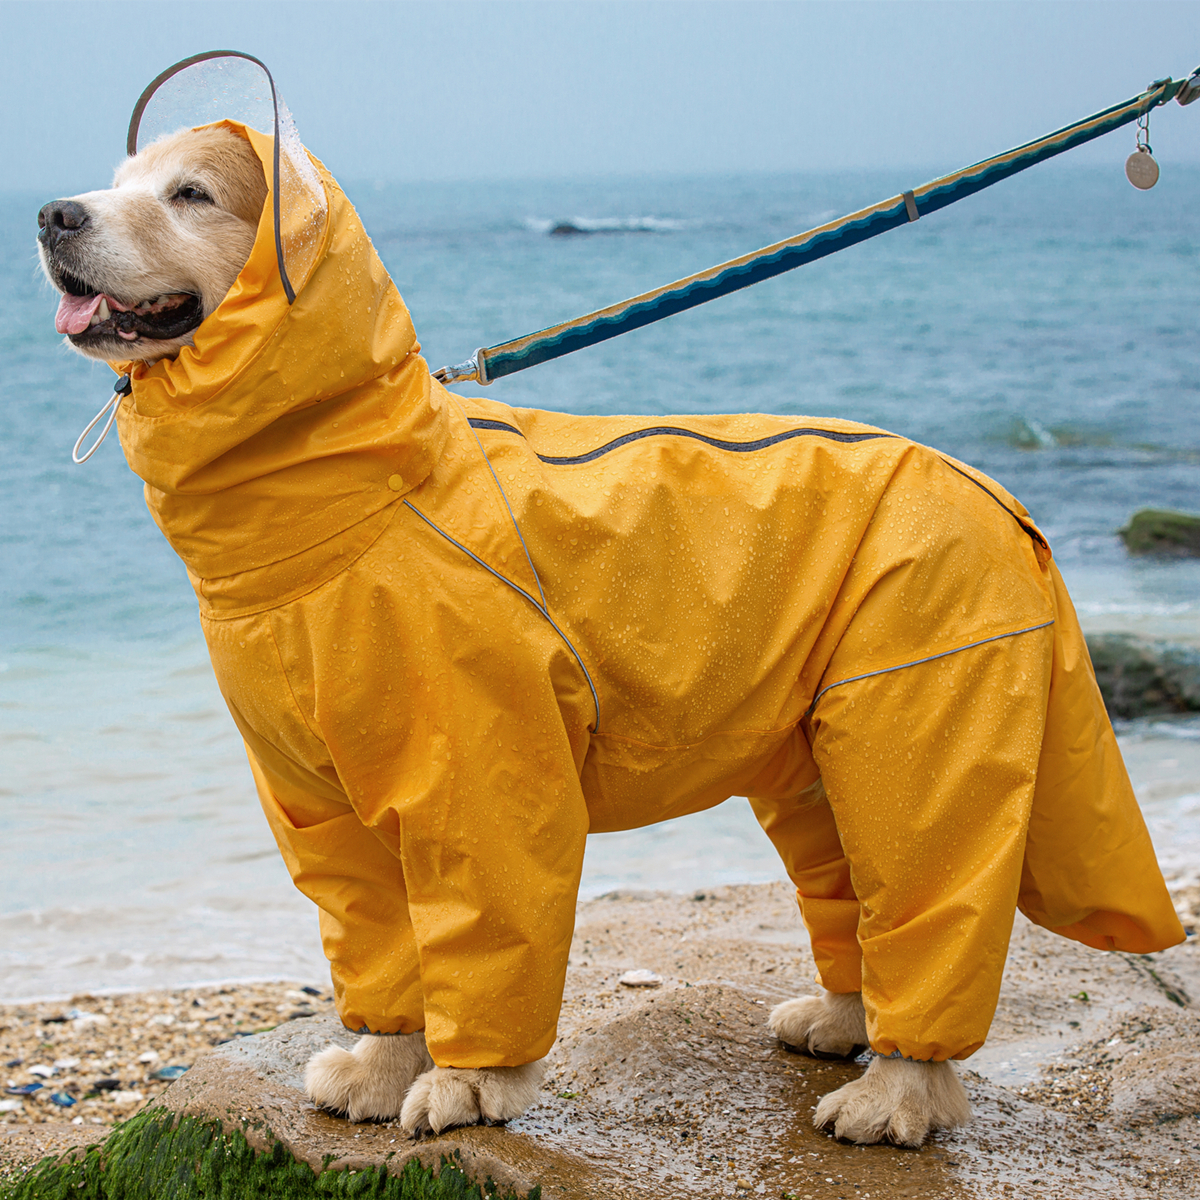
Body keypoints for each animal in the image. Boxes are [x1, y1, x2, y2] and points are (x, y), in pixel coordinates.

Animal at [35, 126, 1180, 1147]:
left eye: (189, 193)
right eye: (114, 179)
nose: (52, 214)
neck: (358, 501)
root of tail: (992, 490)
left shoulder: (482, 778)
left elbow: (486, 926)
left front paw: (468, 1087)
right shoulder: (317, 806)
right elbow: (379, 941)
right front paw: (379, 1066)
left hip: (920, 718)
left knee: (927, 892)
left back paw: (896, 1096)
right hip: (816, 757)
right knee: (851, 890)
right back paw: (841, 1023)